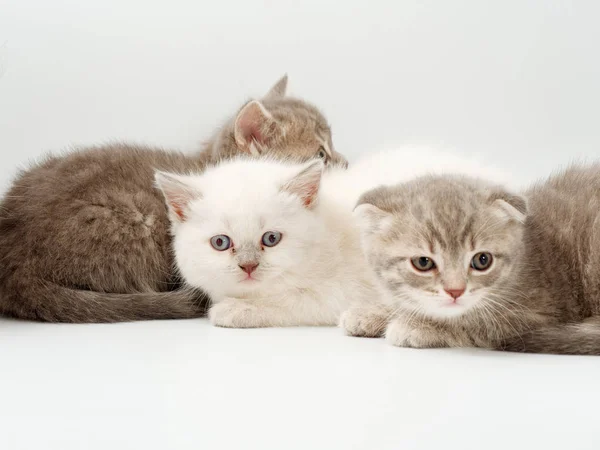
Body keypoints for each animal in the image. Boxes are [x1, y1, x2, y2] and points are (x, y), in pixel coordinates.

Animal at [344, 165, 600, 356]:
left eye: (482, 260)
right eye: (423, 263)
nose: (455, 291)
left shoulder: (536, 316)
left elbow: (474, 324)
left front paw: (416, 326)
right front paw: (372, 312)